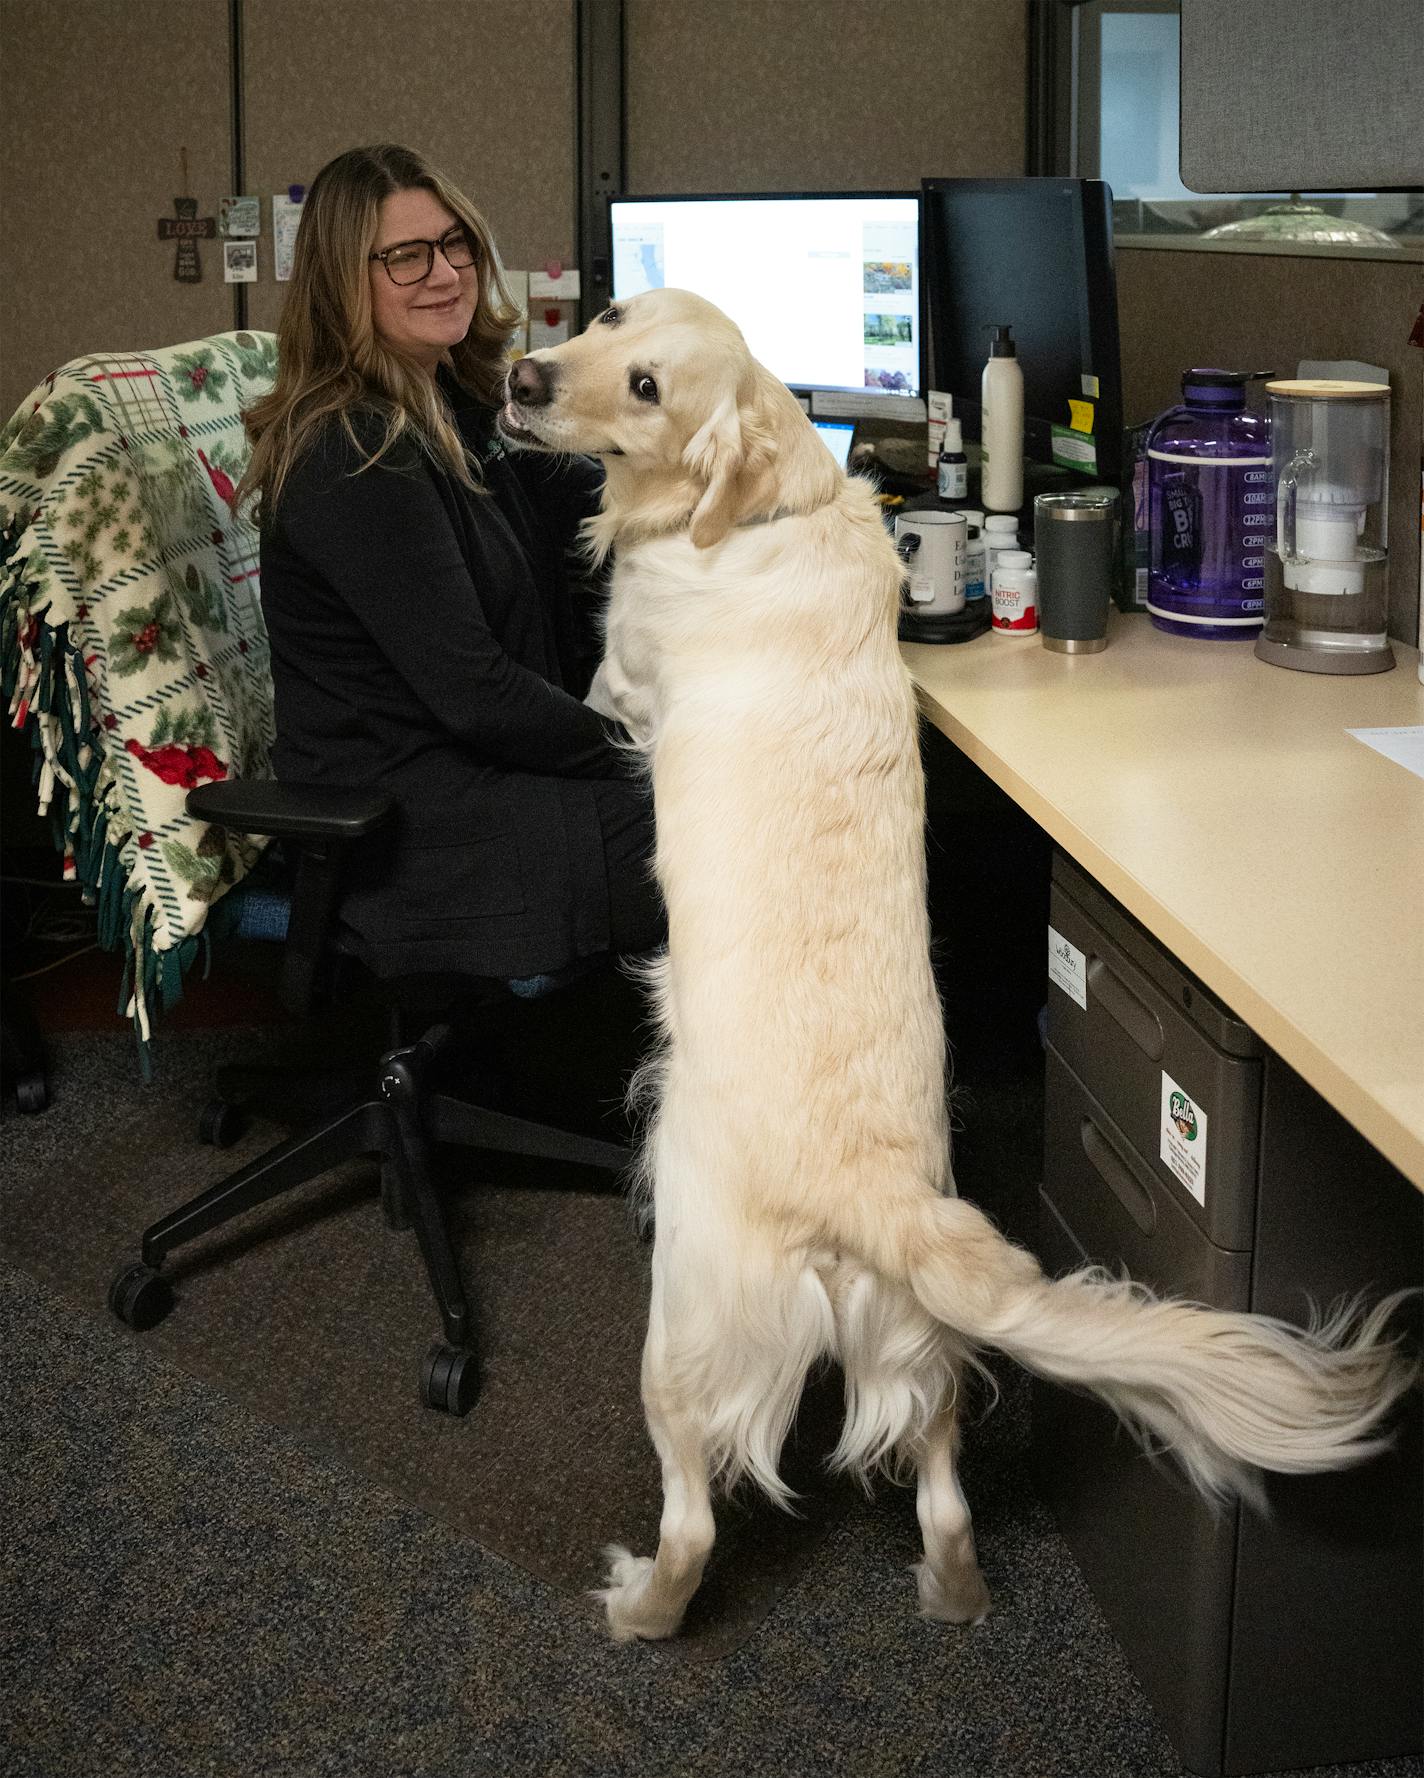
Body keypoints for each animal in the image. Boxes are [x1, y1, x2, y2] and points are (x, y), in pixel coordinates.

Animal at [497, 288, 1408, 1635]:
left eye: (648, 386)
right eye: (607, 317)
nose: (521, 376)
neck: (769, 506)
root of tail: (872, 1197)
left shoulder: (622, 675)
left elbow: (606, 678)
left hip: (684, 1330)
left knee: (694, 1515)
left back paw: (638, 1607)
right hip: (912, 1350)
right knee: (942, 1488)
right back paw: (953, 1587)